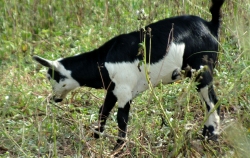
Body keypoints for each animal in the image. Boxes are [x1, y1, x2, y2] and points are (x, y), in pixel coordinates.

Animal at [32, 0, 225, 149]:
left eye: (51, 78)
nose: (53, 99)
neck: (103, 61)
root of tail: (210, 25)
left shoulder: (124, 92)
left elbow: (121, 119)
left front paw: (118, 148)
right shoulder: (113, 89)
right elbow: (103, 111)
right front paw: (96, 135)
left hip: (202, 71)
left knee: (212, 102)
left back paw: (211, 137)